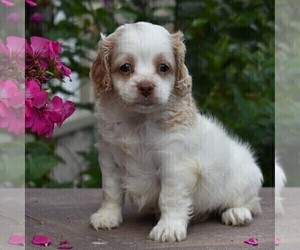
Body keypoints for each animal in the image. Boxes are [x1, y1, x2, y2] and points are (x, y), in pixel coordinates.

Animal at [89, 22, 262, 242]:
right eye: (125, 67)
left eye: (163, 67)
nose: (146, 86)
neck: (138, 120)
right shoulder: (110, 157)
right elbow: (111, 191)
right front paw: (107, 216)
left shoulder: (175, 164)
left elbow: (170, 198)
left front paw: (168, 228)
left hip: (244, 177)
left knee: (249, 201)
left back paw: (236, 212)